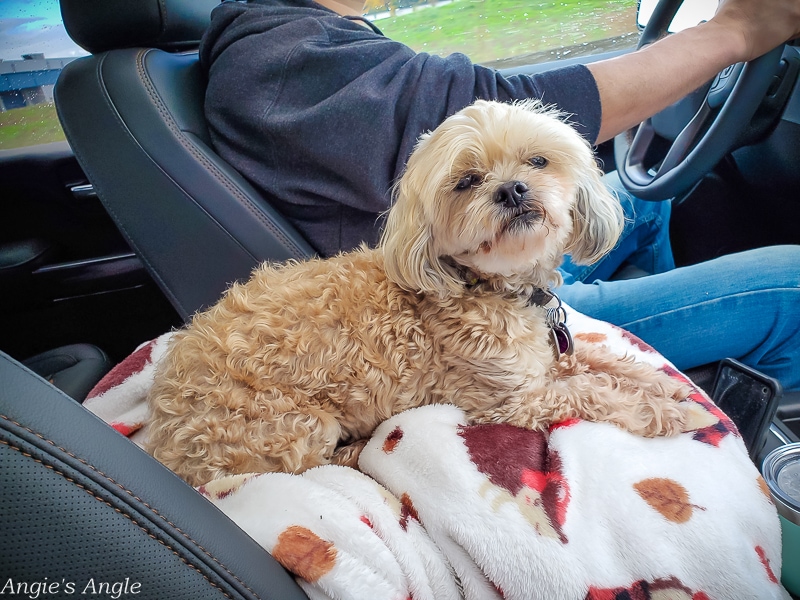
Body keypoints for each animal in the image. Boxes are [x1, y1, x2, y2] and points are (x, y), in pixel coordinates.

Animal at [148, 99, 688, 488]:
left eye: (538, 160)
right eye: (467, 181)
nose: (512, 189)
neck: (492, 286)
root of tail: (161, 436)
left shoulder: (552, 357)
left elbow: (603, 363)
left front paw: (661, 384)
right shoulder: (512, 399)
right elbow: (592, 392)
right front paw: (664, 411)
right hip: (294, 425)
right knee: (297, 468)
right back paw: (354, 450)